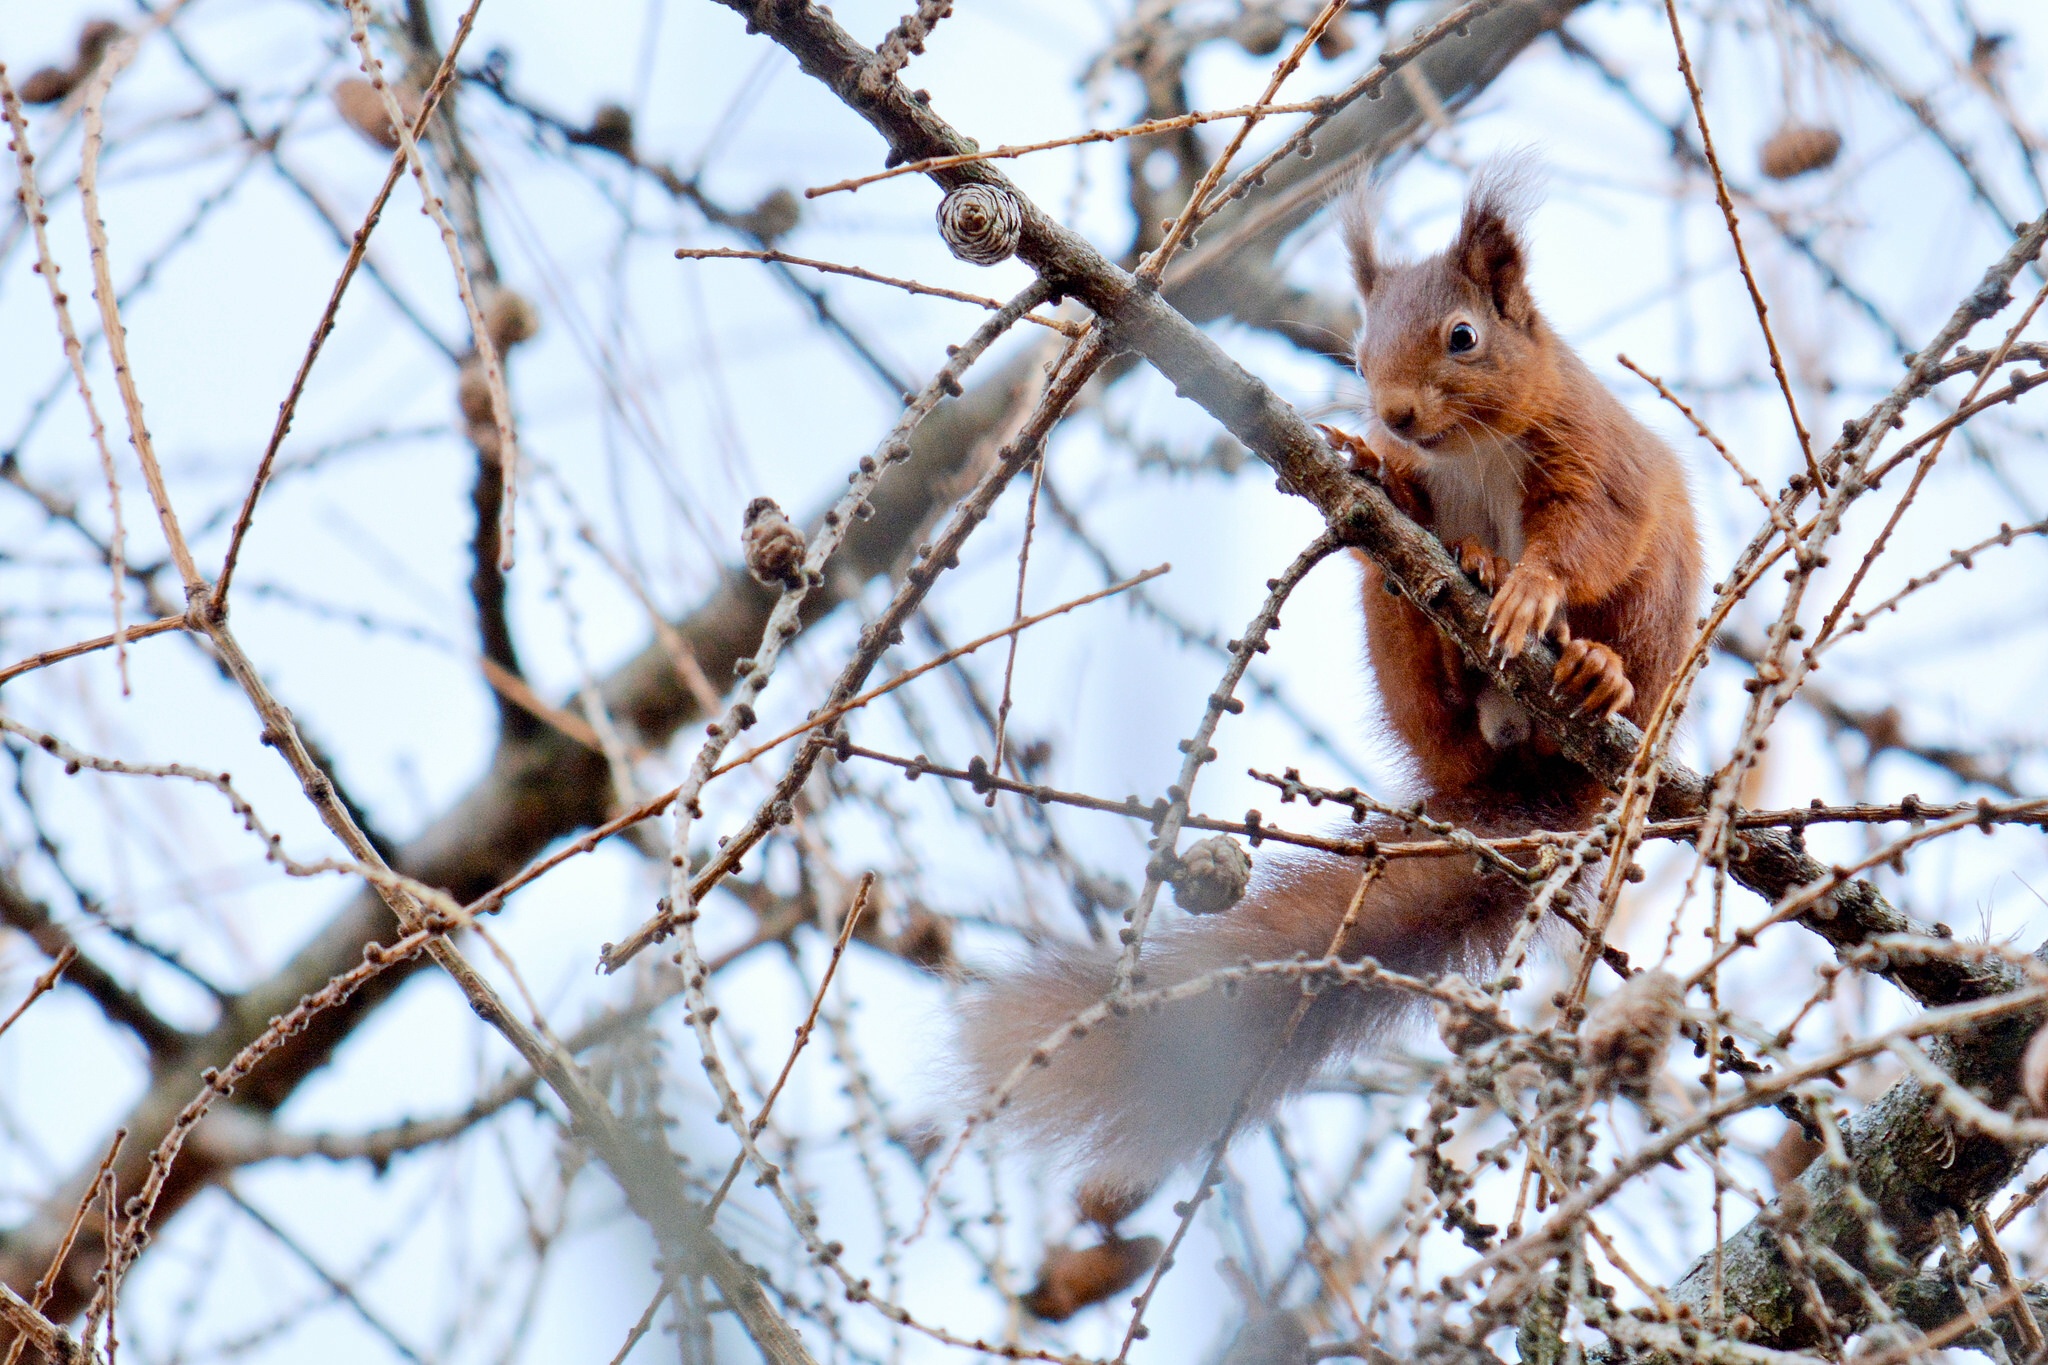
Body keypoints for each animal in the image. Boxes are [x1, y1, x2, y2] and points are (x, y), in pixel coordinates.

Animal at [958, 167, 1695, 1195]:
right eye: (1358, 347)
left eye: (1463, 336)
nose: (1394, 415)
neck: (1470, 448)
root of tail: (1539, 778)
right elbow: (1415, 499)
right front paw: (1376, 464)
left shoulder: (1591, 452)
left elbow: (1591, 531)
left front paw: (1534, 588)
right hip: (1403, 661)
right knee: (1421, 647)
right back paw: (1458, 599)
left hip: (1661, 615)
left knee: (1624, 636)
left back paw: (1597, 671)